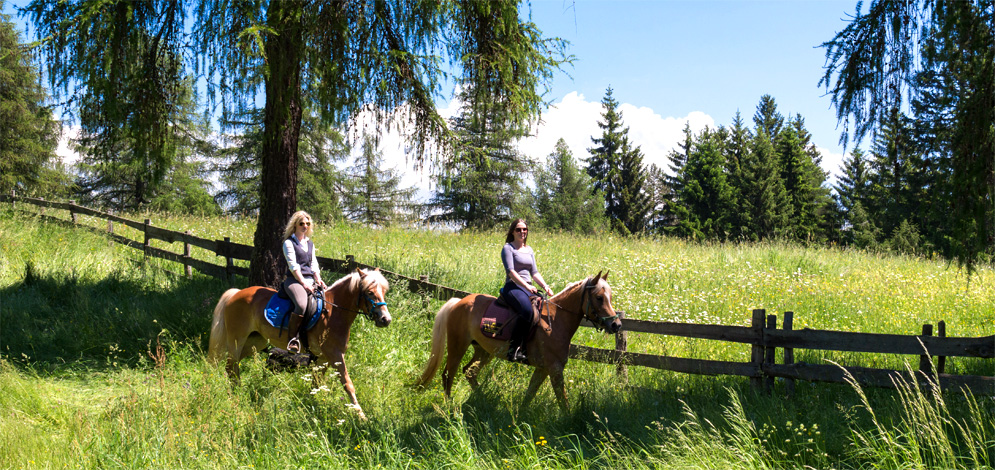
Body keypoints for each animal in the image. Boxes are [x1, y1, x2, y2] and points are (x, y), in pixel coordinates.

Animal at [208, 268, 392, 418]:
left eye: (384, 291)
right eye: (369, 292)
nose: (386, 319)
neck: (334, 312)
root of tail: (236, 293)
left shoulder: (323, 358)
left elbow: (316, 384)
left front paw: (311, 407)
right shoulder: (335, 356)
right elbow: (348, 384)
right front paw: (362, 416)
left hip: (255, 341)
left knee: (233, 365)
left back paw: (237, 390)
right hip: (237, 340)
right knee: (231, 366)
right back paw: (236, 395)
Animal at [414, 270, 624, 410]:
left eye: (610, 296)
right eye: (599, 297)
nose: (616, 325)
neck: (555, 321)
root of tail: (459, 302)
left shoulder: (543, 368)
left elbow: (530, 394)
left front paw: (520, 417)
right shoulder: (555, 368)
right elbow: (562, 400)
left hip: (484, 351)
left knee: (469, 371)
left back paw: (483, 399)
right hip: (458, 346)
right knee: (448, 375)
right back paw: (450, 409)